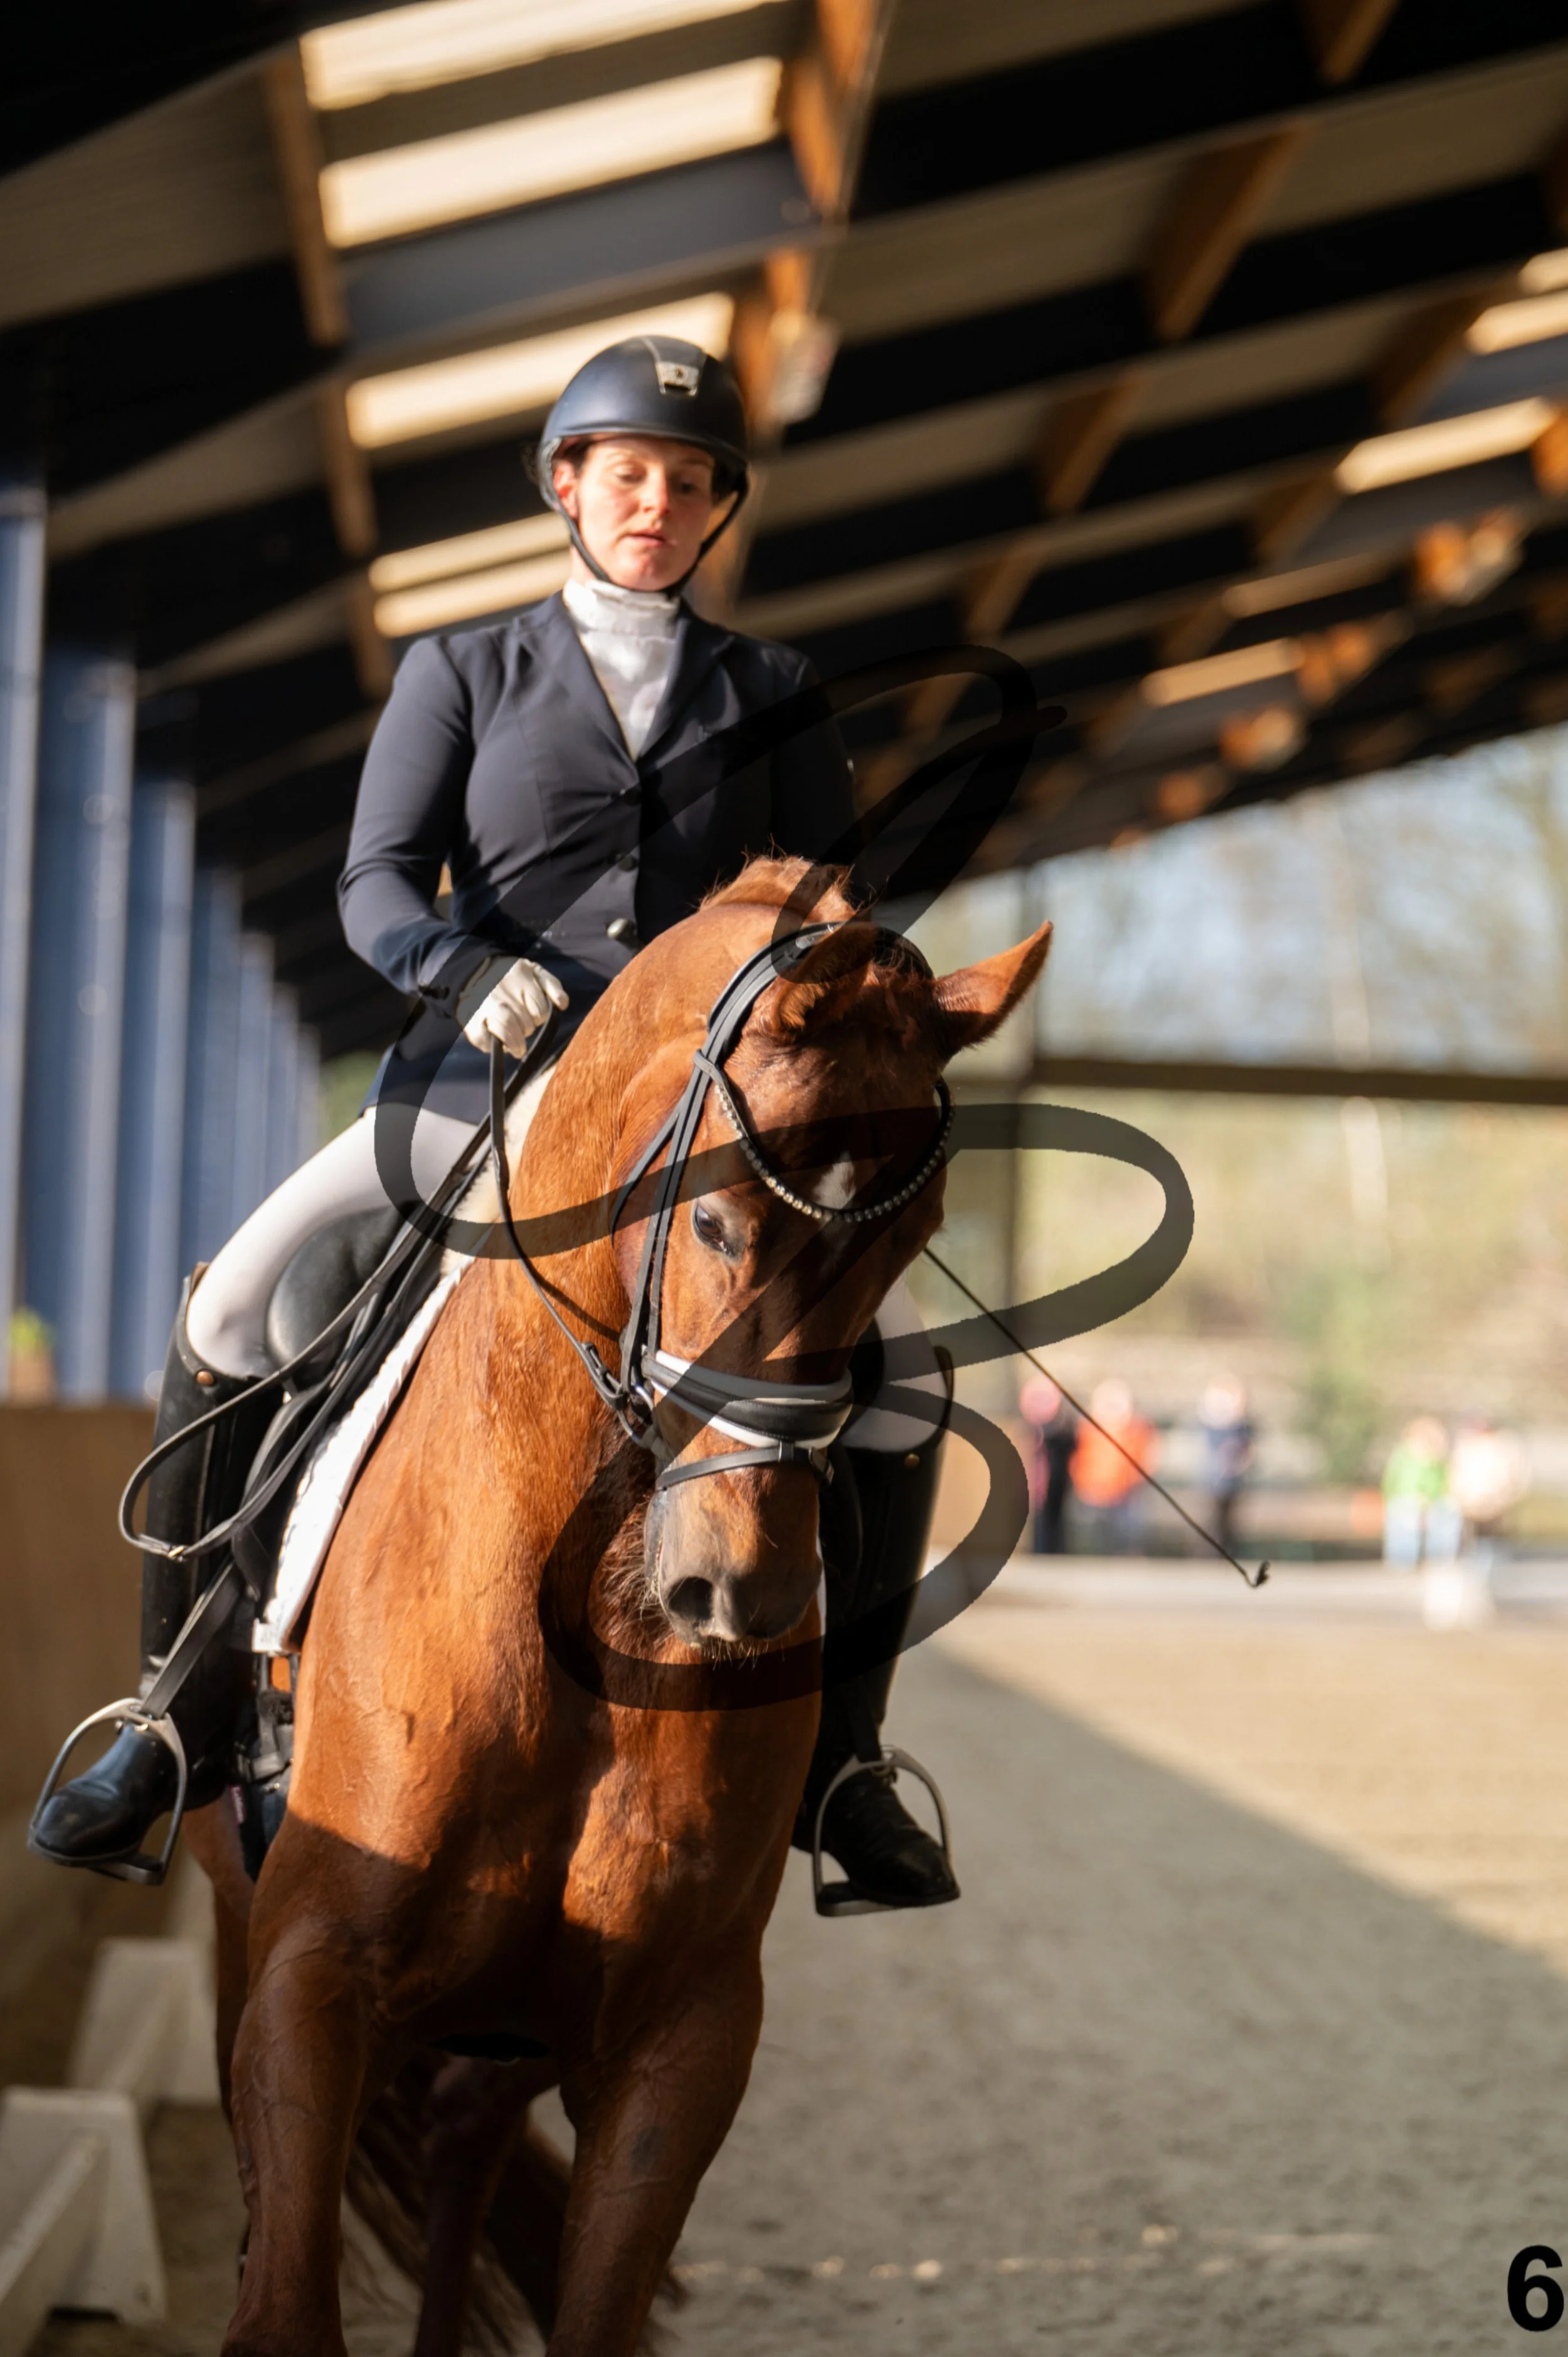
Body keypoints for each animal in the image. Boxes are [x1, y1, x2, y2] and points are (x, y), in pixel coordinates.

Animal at [185, 856, 1052, 2356]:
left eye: (914, 1242)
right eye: (710, 1218)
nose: (736, 1589)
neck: (583, 1603)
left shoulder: (679, 2032)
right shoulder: (309, 1967)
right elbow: (283, 2295)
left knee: (465, 2138)